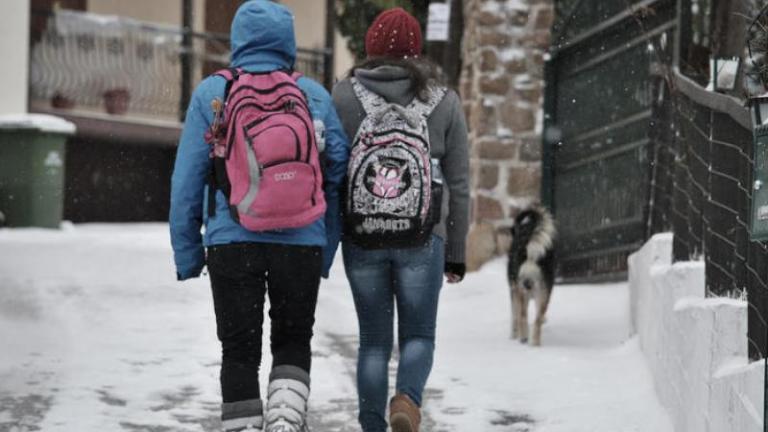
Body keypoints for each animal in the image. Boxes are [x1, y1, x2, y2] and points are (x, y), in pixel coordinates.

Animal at [508, 207, 556, 348]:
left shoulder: (514, 289)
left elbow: (516, 315)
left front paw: (514, 334)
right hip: (543, 290)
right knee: (537, 318)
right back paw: (535, 343)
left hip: (521, 288)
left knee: (522, 315)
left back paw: (524, 337)